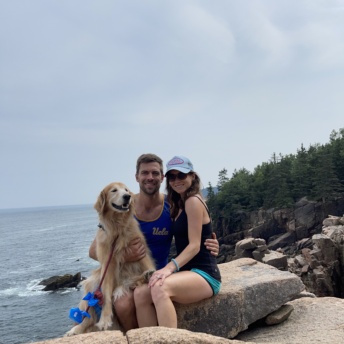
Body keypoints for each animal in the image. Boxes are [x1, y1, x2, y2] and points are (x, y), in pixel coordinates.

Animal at [66, 183, 155, 336]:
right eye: (114, 190)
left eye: (126, 190)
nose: (128, 196)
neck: (117, 226)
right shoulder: (108, 265)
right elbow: (106, 296)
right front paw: (105, 319)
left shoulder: (141, 252)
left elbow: (149, 265)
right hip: (92, 285)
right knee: (88, 316)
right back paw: (76, 329)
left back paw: (146, 276)